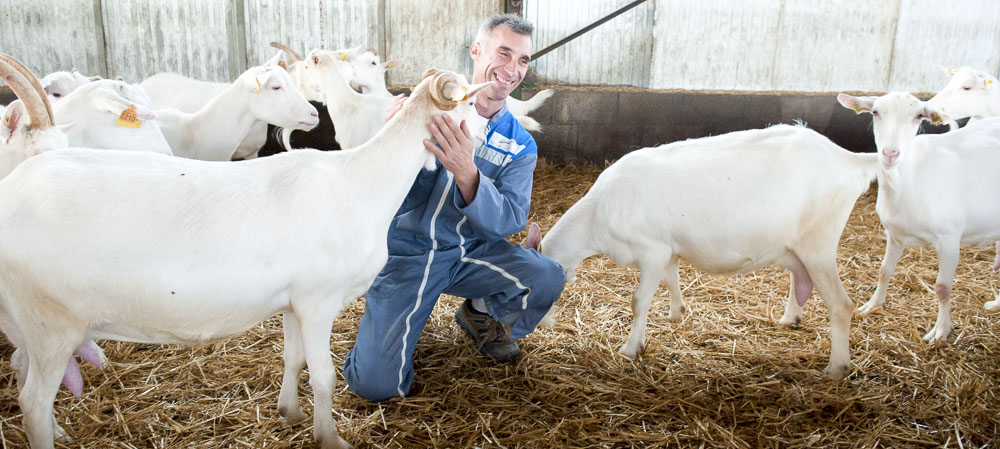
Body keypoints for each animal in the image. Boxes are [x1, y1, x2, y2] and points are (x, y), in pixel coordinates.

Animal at [536, 124, 872, 380]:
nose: (543, 325)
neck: (599, 215)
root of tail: (848, 160)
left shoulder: (653, 250)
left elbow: (639, 301)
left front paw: (630, 349)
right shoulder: (668, 249)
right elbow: (671, 279)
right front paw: (676, 313)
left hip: (819, 244)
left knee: (842, 305)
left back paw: (836, 368)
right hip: (799, 246)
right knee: (801, 279)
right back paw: (790, 318)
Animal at [836, 93, 1000, 336]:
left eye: (919, 116)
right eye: (875, 112)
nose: (890, 153)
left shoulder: (949, 239)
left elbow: (942, 288)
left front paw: (941, 331)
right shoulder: (894, 234)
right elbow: (884, 270)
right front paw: (872, 305)